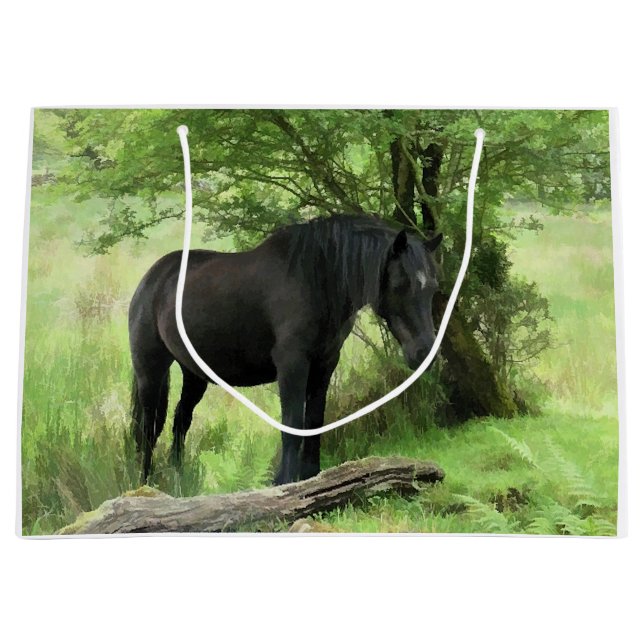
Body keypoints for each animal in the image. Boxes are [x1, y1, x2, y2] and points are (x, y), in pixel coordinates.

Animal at [128, 214, 443, 484]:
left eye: (433, 288)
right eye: (400, 284)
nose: (424, 352)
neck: (316, 280)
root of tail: (152, 278)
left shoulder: (324, 365)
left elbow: (313, 421)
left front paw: (311, 477)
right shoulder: (292, 365)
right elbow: (292, 424)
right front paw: (284, 481)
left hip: (194, 375)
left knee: (180, 422)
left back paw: (178, 481)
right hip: (151, 371)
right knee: (148, 430)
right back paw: (145, 485)